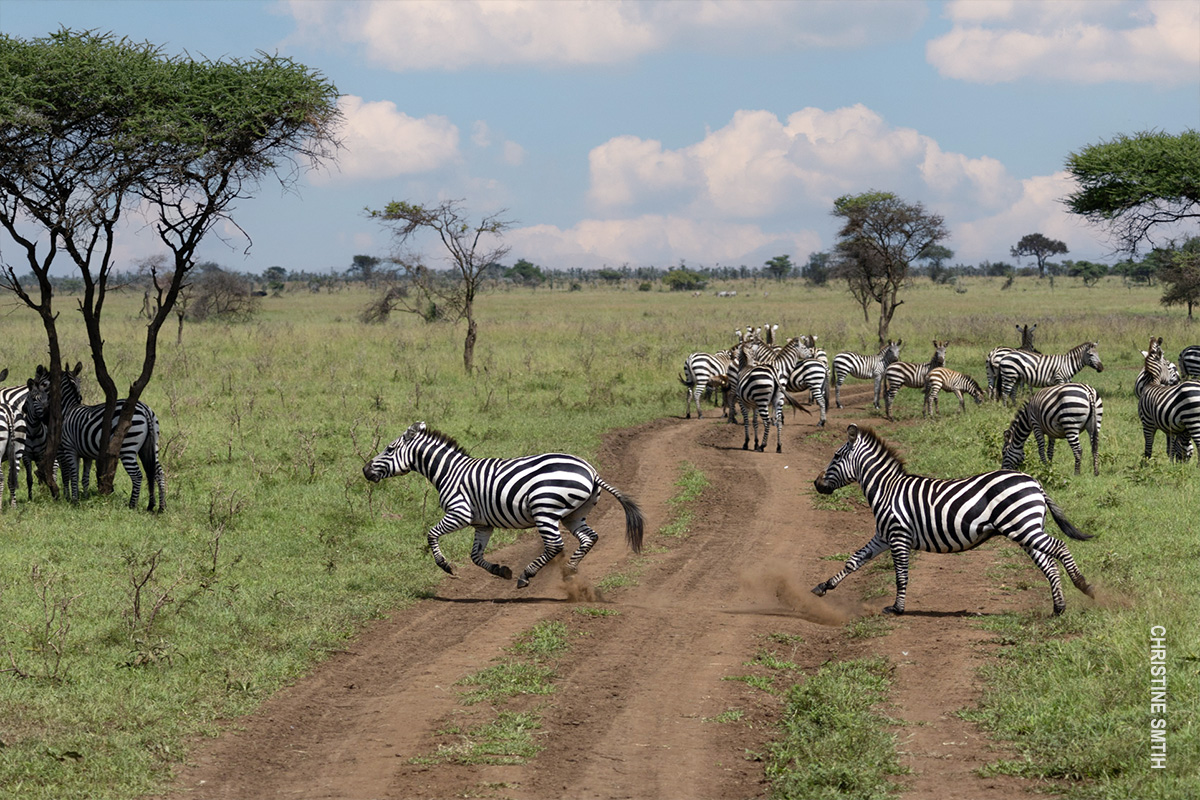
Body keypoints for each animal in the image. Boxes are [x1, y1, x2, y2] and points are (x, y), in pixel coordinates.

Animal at [33, 364, 165, 513]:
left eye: (43, 384)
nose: (45, 417)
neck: (69, 408)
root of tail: (145, 409)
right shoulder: (86, 455)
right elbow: (84, 477)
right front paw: (83, 497)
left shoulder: (68, 449)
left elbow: (71, 474)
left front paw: (72, 499)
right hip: (150, 446)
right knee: (158, 472)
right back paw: (159, 506)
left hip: (128, 448)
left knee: (137, 475)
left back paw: (132, 505)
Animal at [362, 422, 648, 585]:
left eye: (389, 449)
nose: (365, 470)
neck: (449, 472)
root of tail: (591, 471)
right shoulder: (482, 524)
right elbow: (476, 556)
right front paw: (501, 571)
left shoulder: (460, 513)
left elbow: (432, 534)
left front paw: (446, 566)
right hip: (574, 514)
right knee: (590, 537)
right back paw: (568, 570)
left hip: (544, 510)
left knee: (555, 545)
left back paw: (527, 575)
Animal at [806, 429, 1099, 618]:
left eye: (835, 457)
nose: (817, 484)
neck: (886, 490)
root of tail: (1035, 482)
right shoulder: (883, 535)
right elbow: (854, 560)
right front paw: (823, 587)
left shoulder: (898, 535)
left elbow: (901, 575)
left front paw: (897, 609)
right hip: (1025, 529)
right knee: (1049, 564)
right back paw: (1058, 609)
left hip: (1024, 527)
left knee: (1060, 548)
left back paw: (1084, 586)